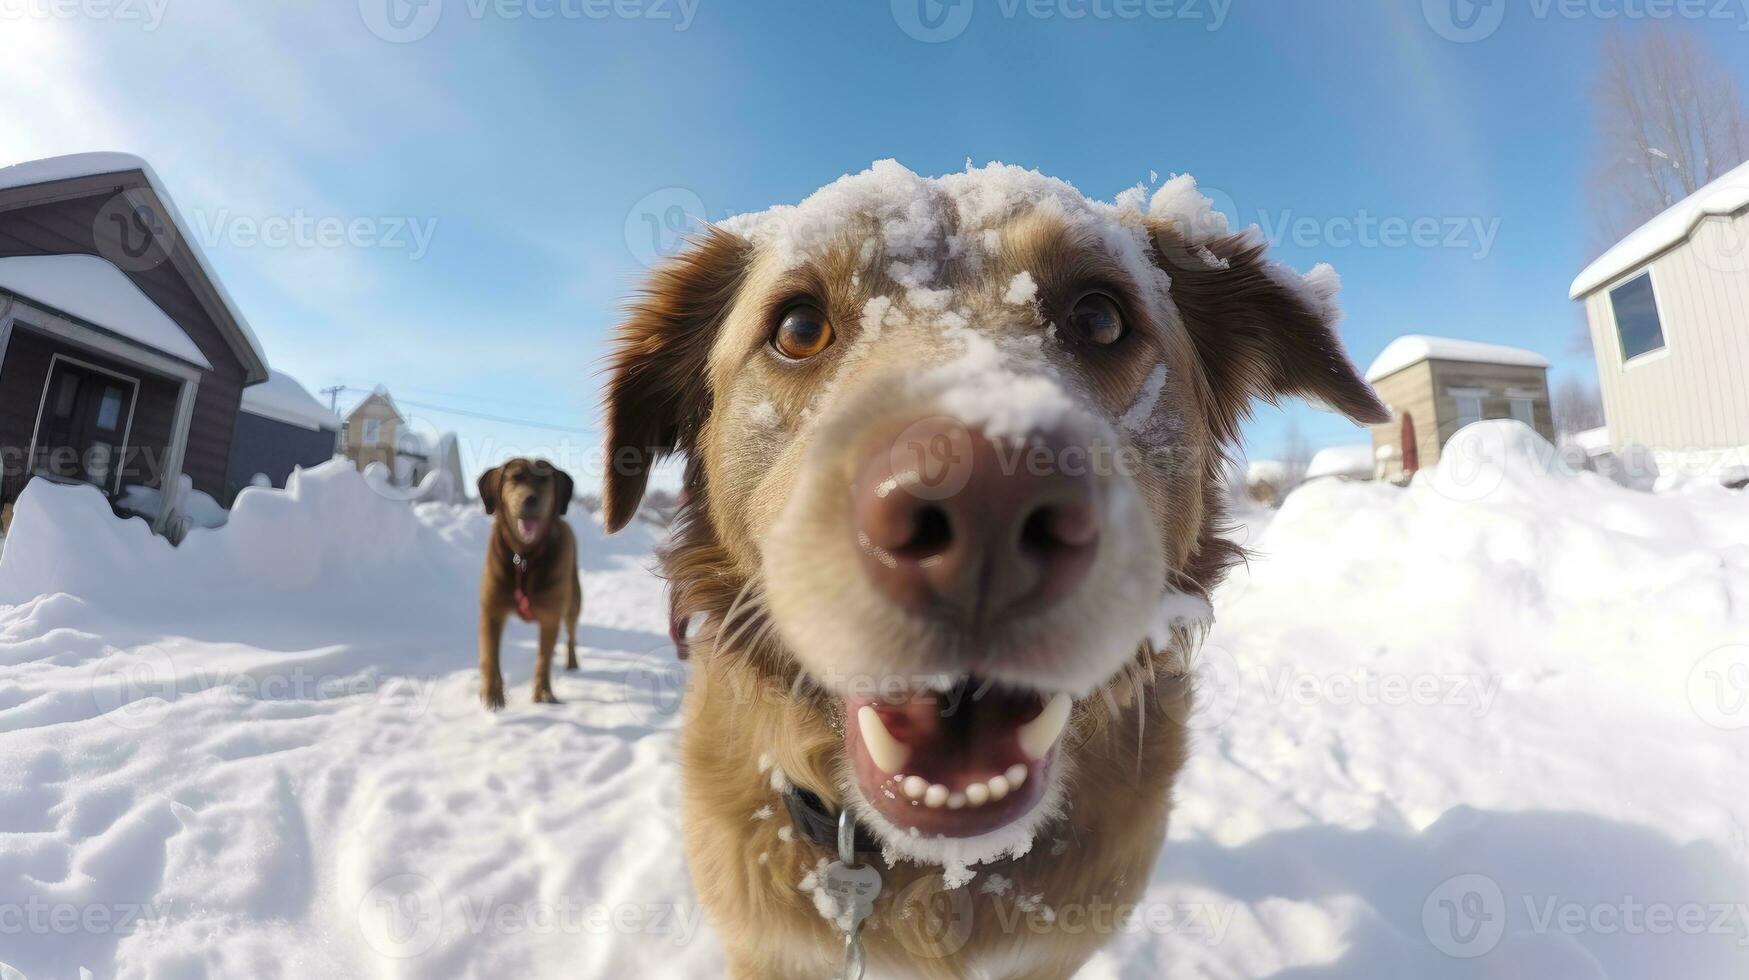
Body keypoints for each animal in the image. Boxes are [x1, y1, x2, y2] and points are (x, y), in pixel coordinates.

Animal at [475, 455, 584, 707]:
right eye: (516, 478)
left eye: (544, 480)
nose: (530, 499)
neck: (524, 556)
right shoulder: (491, 610)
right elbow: (489, 654)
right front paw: (492, 693)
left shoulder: (550, 616)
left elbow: (543, 659)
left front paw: (543, 692)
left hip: (573, 602)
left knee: (571, 633)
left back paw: (572, 662)